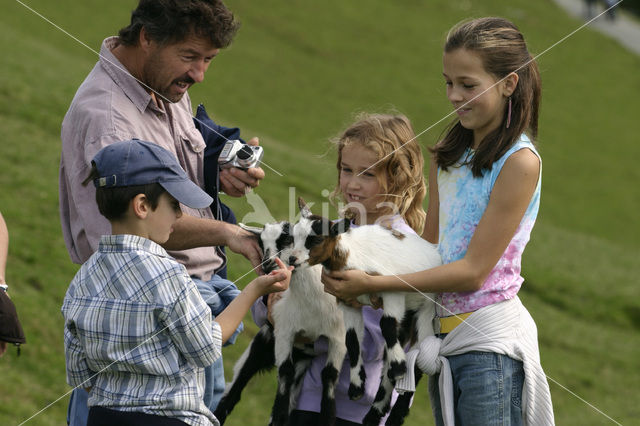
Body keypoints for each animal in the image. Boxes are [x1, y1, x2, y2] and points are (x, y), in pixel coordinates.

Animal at [214, 221, 344, 426]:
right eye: (261, 242)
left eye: (287, 238)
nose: (267, 264)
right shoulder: (284, 331)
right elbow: (284, 372)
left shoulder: (338, 338)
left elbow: (329, 376)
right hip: (261, 346)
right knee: (232, 393)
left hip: (301, 363)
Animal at [292, 201, 442, 426]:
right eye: (293, 234)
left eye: (316, 239)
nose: (292, 258)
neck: (352, 255)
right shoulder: (348, 301)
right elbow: (352, 339)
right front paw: (356, 386)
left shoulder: (392, 291)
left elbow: (385, 325)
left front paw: (399, 367)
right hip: (409, 318)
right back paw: (375, 412)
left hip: (426, 310)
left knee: (419, 360)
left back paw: (394, 409)